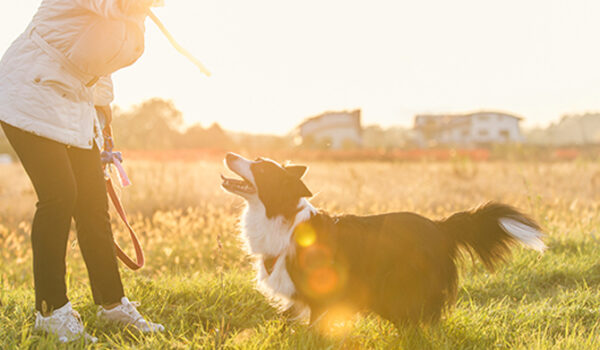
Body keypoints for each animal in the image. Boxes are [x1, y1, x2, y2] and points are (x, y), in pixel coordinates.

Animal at [219, 154, 544, 328]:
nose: (229, 155)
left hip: (400, 286)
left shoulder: (320, 292)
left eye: (260, 168)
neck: (280, 216)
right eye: (257, 161)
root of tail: (439, 226)